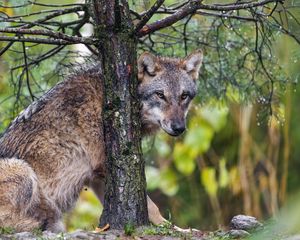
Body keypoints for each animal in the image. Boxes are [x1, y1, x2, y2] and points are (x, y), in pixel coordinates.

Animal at [0, 50, 204, 232]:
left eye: (184, 96)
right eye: (160, 95)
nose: (179, 128)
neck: (108, 102)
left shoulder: (95, 176)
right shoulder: (103, 166)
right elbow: (151, 206)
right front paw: (173, 229)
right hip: (22, 168)